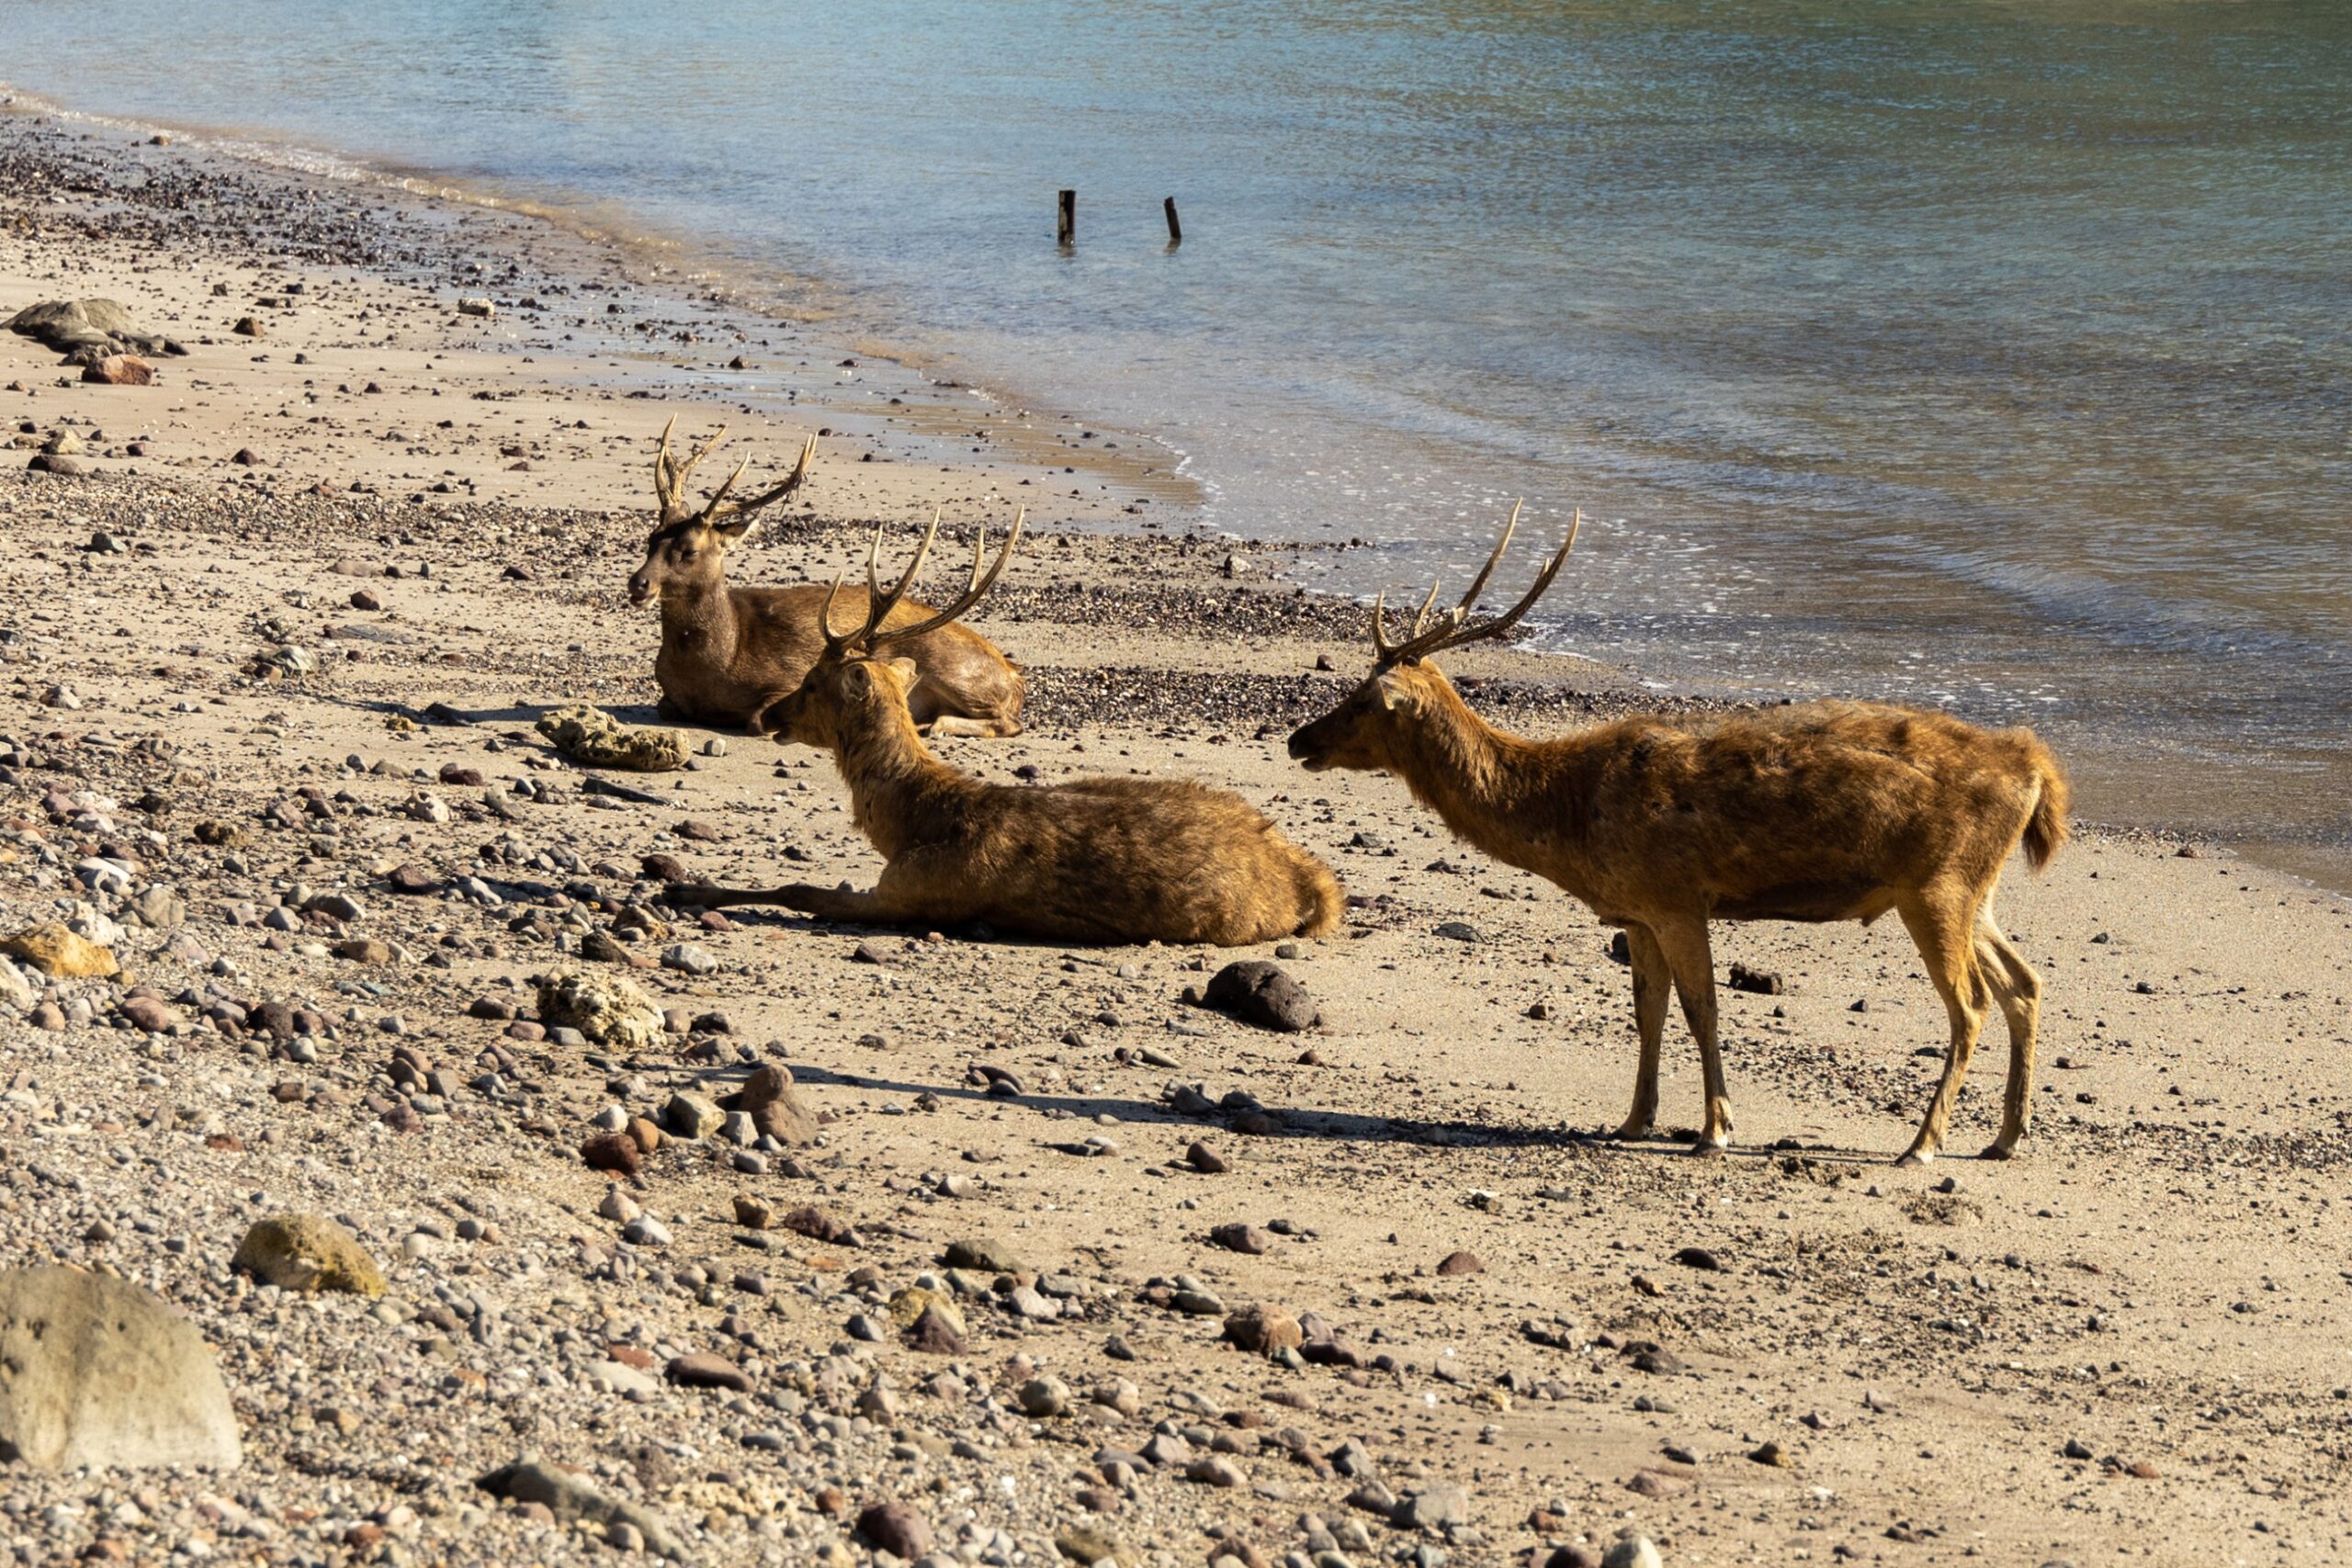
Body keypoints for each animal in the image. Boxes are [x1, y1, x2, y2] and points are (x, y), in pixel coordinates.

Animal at [630, 413, 1025, 738]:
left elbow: (757, 719)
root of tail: (1014, 675)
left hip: (955, 670)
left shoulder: (789, 675)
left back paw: (934, 724)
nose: (638, 583)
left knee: (1009, 722)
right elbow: (665, 707)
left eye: (690, 550)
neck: (721, 660)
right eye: (652, 538)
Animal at [673, 514, 1354, 944]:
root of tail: (1308, 876)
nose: (772, 716)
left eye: (814, 681)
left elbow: (797, 888)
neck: (911, 824)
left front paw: (688, 892)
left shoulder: (916, 894)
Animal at [1288, 510, 2079, 1161]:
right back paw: (2005, 1137)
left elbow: (1703, 1009)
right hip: (1974, 890)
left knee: (1971, 1005)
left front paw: (1715, 1128)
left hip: (1937, 885)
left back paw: (1922, 1144)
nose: (1299, 738)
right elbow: (1648, 1013)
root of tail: (2034, 768)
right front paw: (1633, 1119)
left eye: (1364, 700)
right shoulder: (1636, 910)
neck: (1570, 814)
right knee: (2026, 983)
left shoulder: (1675, 896)